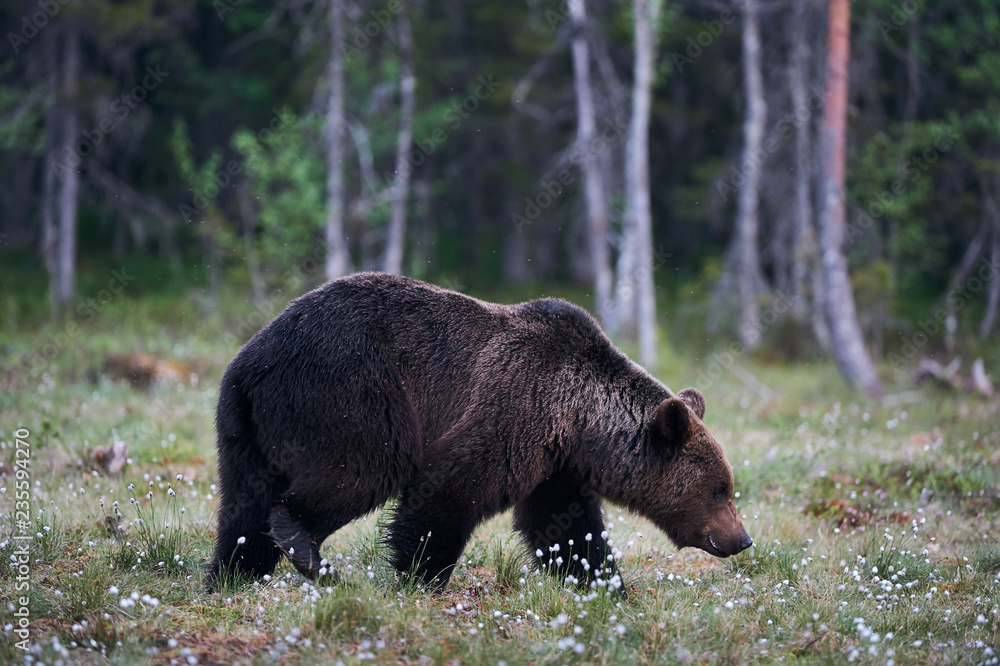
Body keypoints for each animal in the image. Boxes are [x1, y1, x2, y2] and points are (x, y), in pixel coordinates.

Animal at [209, 272, 752, 588]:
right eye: (720, 489)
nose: (742, 539)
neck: (579, 420)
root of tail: (253, 357)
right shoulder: (514, 410)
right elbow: (448, 490)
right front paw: (421, 573)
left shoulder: (556, 466)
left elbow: (566, 527)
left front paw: (601, 582)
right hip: (349, 387)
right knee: (369, 462)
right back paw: (305, 549)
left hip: (244, 424)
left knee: (244, 501)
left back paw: (236, 572)